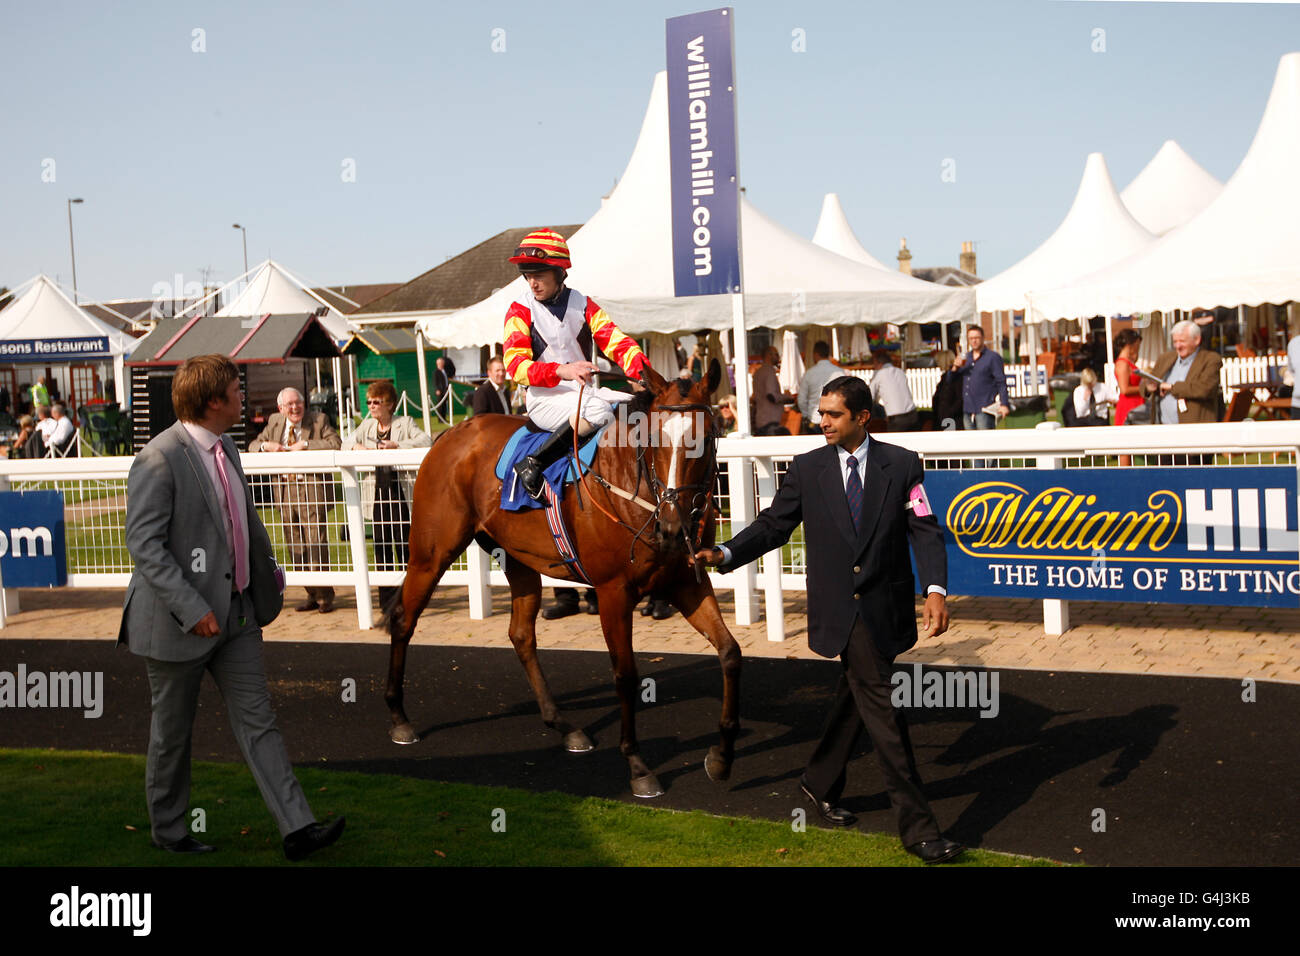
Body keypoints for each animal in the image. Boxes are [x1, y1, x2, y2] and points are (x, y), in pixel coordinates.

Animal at [384, 358, 743, 790]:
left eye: (705, 439)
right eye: (655, 439)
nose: (672, 529)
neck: (635, 490)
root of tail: (452, 433)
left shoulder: (687, 582)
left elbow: (730, 653)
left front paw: (723, 756)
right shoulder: (613, 592)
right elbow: (626, 674)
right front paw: (638, 765)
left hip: (518, 560)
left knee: (521, 635)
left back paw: (564, 726)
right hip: (431, 554)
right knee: (403, 618)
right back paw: (399, 719)